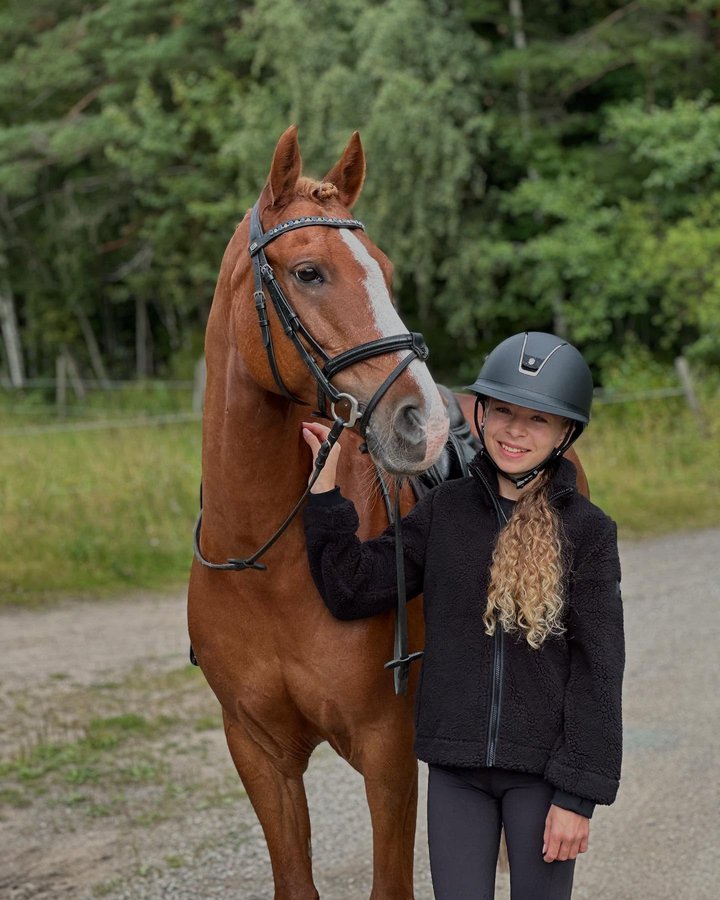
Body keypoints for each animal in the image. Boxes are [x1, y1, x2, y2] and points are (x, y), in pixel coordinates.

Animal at [187, 126, 590, 899]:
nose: (422, 424)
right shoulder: (258, 753)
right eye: (309, 272)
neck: (267, 563)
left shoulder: (386, 752)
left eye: (386, 270)